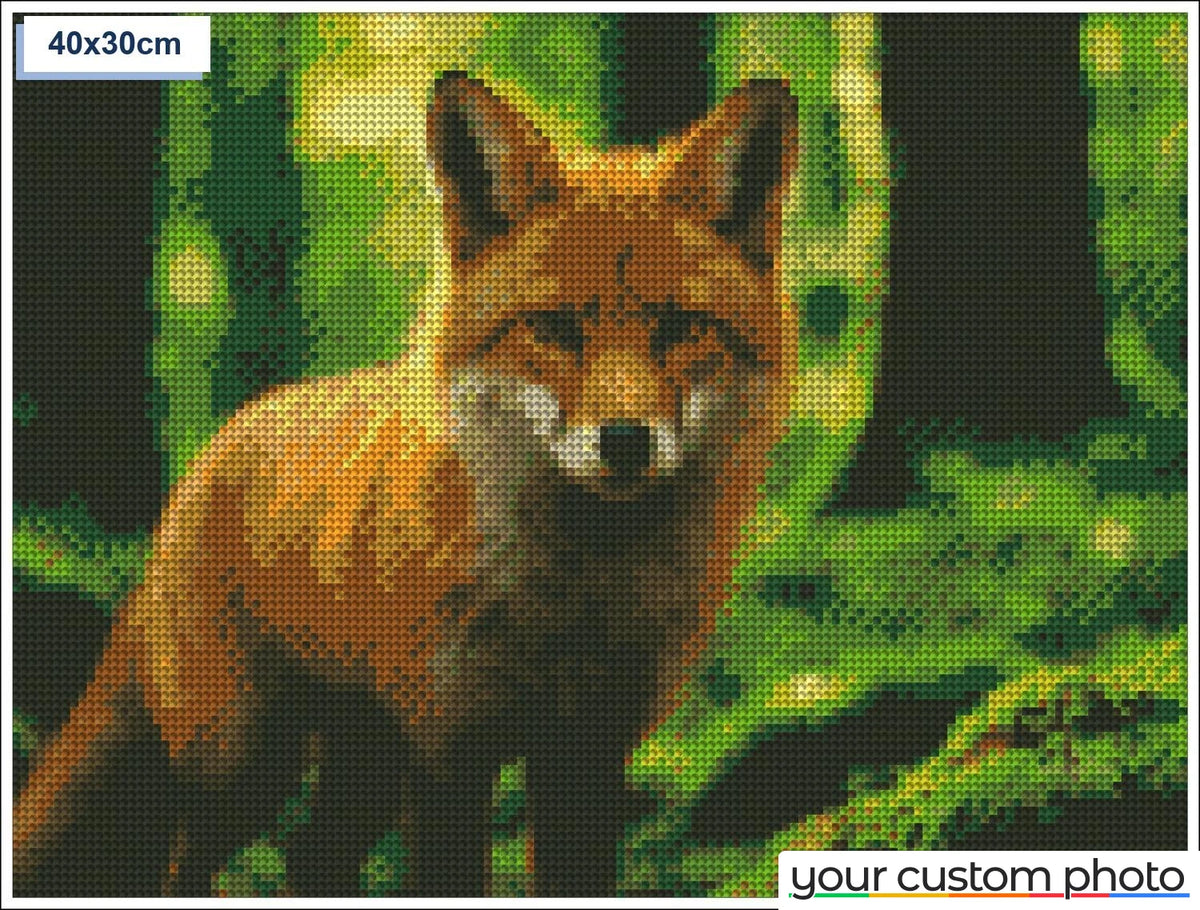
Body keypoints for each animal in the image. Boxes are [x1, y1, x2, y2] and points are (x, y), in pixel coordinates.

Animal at [14, 72, 799, 897]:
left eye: (682, 328)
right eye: (553, 328)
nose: (624, 441)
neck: (576, 591)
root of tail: (221, 441)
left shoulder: (584, 750)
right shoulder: (448, 746)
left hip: (361, 763)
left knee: (309, 855)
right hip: (244, 762)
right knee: (182, 862)